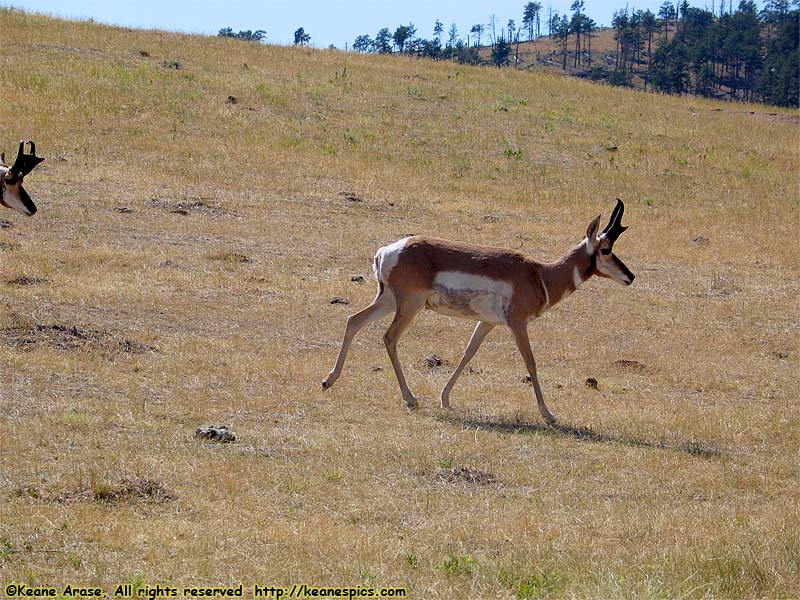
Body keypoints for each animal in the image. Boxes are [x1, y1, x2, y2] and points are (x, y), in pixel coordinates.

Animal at [322, 198, 636, 422]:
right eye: (606, 249)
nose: (630, 277)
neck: (540, 275)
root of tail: (387, 251)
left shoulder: (487, 323)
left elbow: (467, 353)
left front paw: (445, 399)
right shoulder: (517, 324)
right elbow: (531, 362)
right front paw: (549, 414)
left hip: (387, 301)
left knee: (354, 320)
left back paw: (328, 380)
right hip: (409, 306)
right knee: (389, 337)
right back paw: (410, 398)